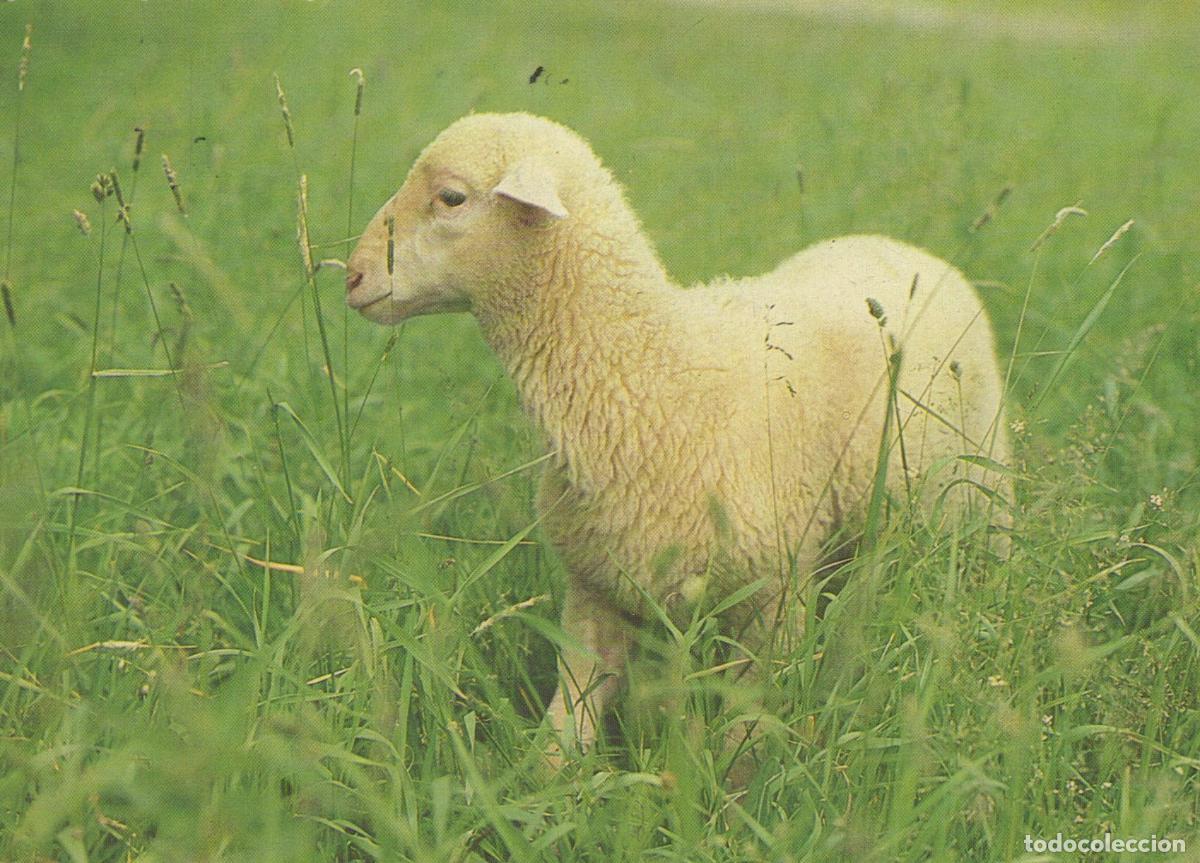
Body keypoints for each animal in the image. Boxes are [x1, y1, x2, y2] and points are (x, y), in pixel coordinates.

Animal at [345, 111, 1011, 768]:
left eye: (451, 198)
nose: (351, 276)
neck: (659, 369)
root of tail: (894, 244)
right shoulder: (595, 588)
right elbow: (566, 728)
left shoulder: (774, 597)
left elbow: (742, 743)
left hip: (979, 492)